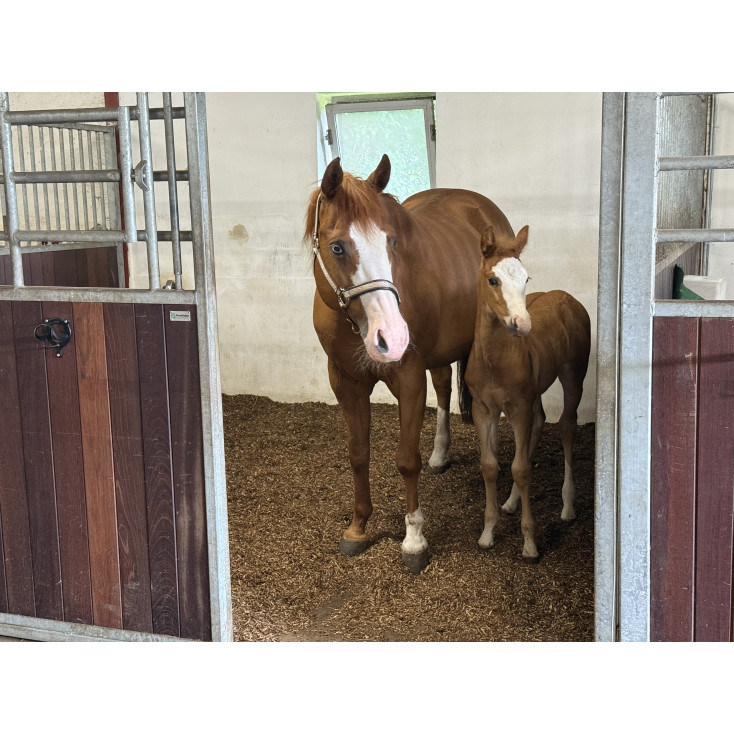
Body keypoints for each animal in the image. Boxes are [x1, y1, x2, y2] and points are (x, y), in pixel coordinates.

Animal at [305, 154, 515, 573]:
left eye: (391, 241)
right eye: (337, 247)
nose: (394, 336)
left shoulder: (409, 379)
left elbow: (405, 461)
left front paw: (414, 539)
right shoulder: (345, 384)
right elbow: (358, 454)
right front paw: (358, 527)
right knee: (444, 388)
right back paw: (440, 454)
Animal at [464, 224, 590, 562]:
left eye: (526, 279)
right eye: (493, 280)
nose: (522, 325)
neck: (493, 360)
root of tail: (566, 297)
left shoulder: (518, 407)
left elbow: (521, 469)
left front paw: (530, 544)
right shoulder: (484, 409)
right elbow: (490, 465)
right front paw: (487, 533)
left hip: (573, 375)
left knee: (566, 425)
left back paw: (568, 506)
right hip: (534, 393)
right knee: (539, 421)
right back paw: (510, 502)